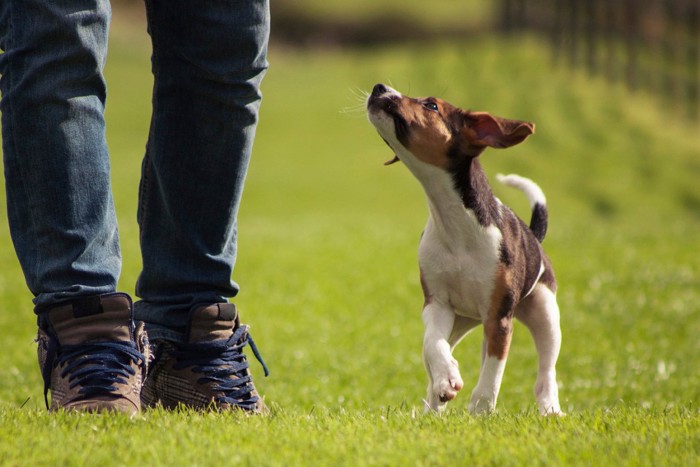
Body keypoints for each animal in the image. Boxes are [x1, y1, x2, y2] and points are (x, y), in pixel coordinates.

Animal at [366, 84, 564, 416]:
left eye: (431, 105)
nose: (380, 87)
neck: (454, 222)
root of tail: (534, 236)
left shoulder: (499, 317)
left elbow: (493, 371)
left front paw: (481, 409)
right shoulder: (437, 305)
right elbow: (434, 345)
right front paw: (448, 379)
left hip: (544, 313)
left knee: (545, 373)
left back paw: (550, 409)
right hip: (463, 320)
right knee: (435, 354)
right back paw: (432, 405)